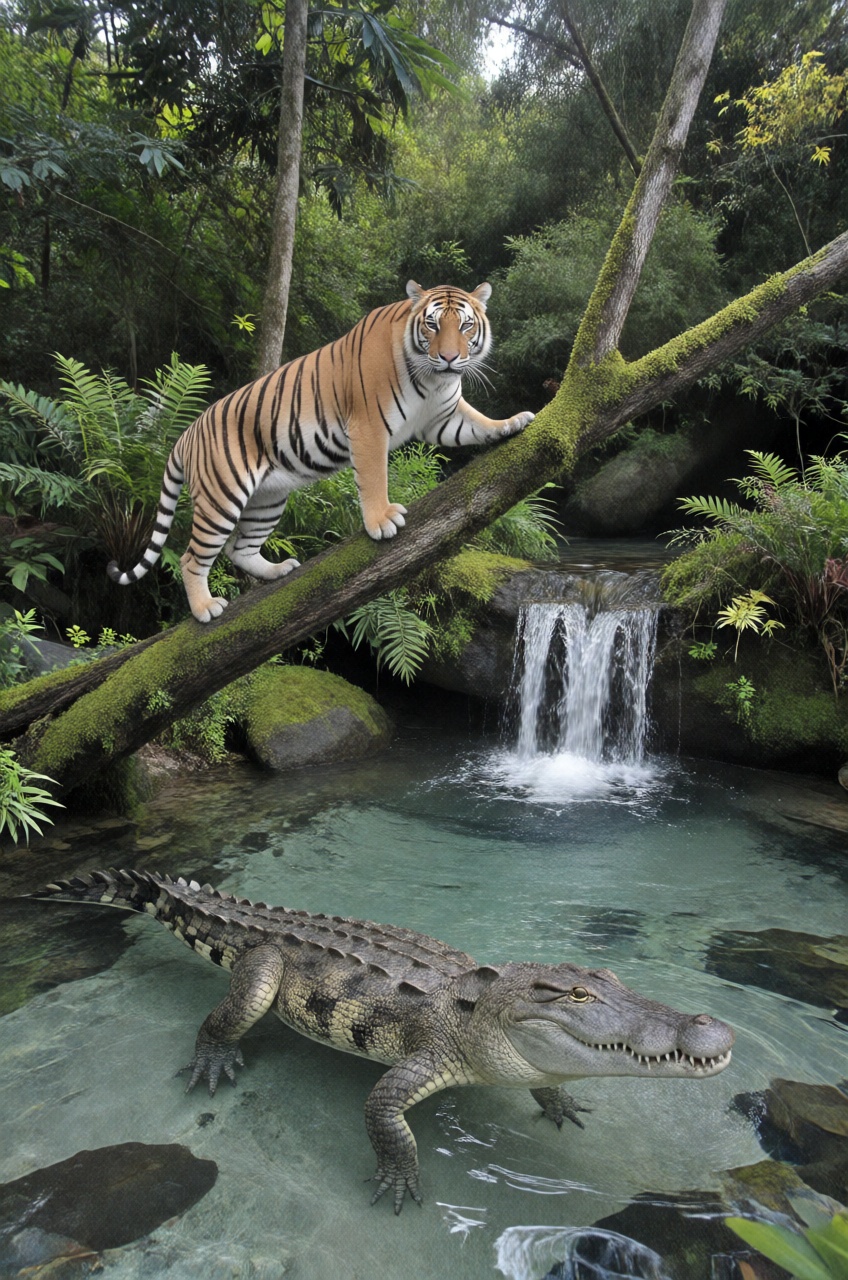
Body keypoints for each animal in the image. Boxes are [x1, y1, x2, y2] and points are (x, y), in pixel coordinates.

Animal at [108, 280, 534, 623]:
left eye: (465, 325)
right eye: (432, 325)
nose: (448, 357)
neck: (432, 380)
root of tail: (186, 434)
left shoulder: (443, 418)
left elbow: (479, 422)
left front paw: (513, 422)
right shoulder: (368, 426)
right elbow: (374, 477)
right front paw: (381, 520)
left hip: (267, 499)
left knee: (239, 548)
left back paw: (277, 571)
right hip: (221, 499)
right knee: (192, 557)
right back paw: (204, 609)